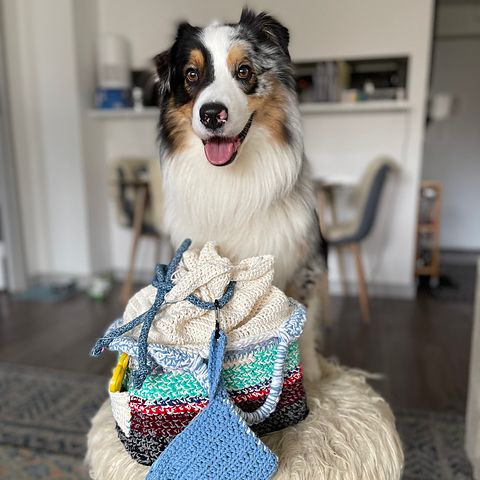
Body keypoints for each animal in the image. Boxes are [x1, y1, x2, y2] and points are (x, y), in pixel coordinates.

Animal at [156, 9, 328, 380]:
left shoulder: (302, 264)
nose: (211, 114)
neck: (231, 178)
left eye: (244, 70)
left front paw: (313, 379)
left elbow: (303, 323)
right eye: (192, 74)